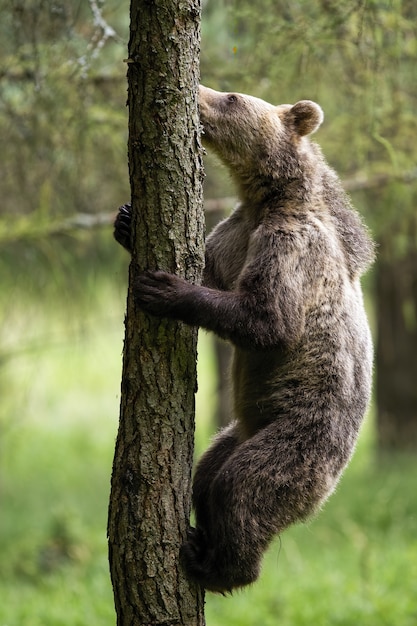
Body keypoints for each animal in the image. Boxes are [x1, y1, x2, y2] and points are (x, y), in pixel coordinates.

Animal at [113, 83, 374, 588]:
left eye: (233, 96)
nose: (198, 89)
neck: (268, 198)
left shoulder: (290, 246)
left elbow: (268, 321)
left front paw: (165, 288)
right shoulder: (236, 233)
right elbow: (213, 269)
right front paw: (127, 223)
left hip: (299, 437)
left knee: (245, 490)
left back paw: (219, 565)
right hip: (239, 431)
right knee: (206, 474)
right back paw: (202, 535)